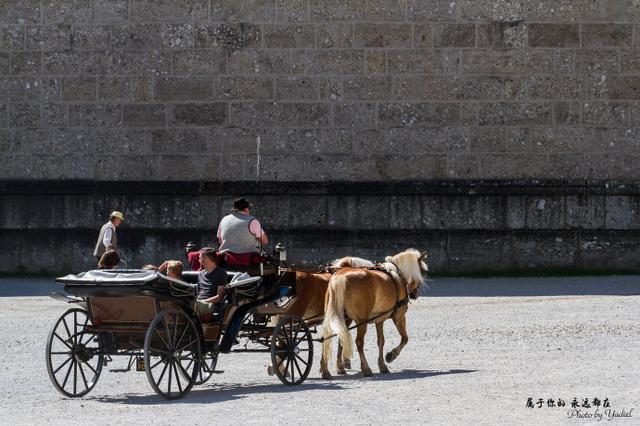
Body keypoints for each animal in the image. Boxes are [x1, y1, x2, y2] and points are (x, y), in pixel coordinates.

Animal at [318, 250, 428, 380]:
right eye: (421, 270)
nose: (415, 294)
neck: (397, 274)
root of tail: (340, 275)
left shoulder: (379, 320)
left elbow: (381, 341)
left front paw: (382, 365)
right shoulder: (399, 316)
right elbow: (405, 338)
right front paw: (391, 355)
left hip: (339, 318)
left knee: (331, 338)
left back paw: (327, 369)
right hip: (361, 322)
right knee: (359, 342)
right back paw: (366, 369)